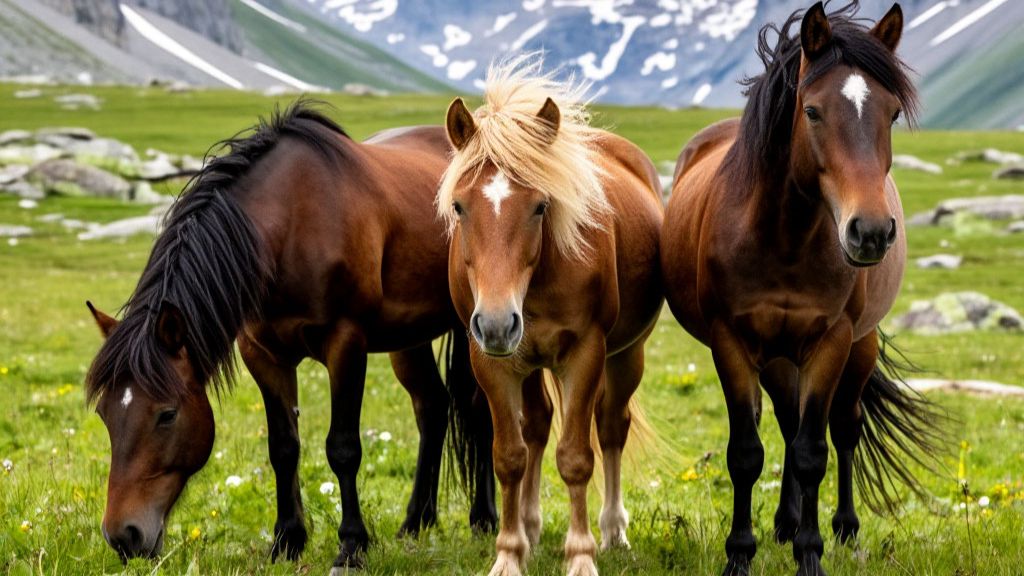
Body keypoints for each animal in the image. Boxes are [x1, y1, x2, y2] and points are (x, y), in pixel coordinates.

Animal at [83, 101, 497, 571]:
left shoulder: (346, 345)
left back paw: (484, 518)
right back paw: (415, 521)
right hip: (409, 339)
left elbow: (343, 449)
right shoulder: (263, 354)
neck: (290, 224)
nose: (123, 536)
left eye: (167, 414)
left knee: (479, 411)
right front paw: (286, 540)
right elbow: (283, 448)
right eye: (105, 414)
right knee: (433, 407)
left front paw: (351, 546)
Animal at [438, 56, 663, 576]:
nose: (497, 322)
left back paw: (612, 530)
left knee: (611, 426)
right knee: (537, 427)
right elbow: (509, 456)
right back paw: (530, 526)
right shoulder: (492, 361)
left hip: (626, 356)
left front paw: (580, 555)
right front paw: (508, 553)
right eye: (459, 206)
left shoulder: (585, 354)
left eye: (541, 205)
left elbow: (577, 457)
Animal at [661, 3, 945, 575]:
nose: (871, 232)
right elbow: (746, 453)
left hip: (860, 344)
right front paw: (739, 554)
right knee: (789, 421)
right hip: (776, 356)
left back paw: (842, 528)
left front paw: (811, 554)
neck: (785, 239)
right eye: (812, 112)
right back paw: (785, 524)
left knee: (844, 427)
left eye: (891, 114)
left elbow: (814, 450)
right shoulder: (731, 342)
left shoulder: (831, 340)